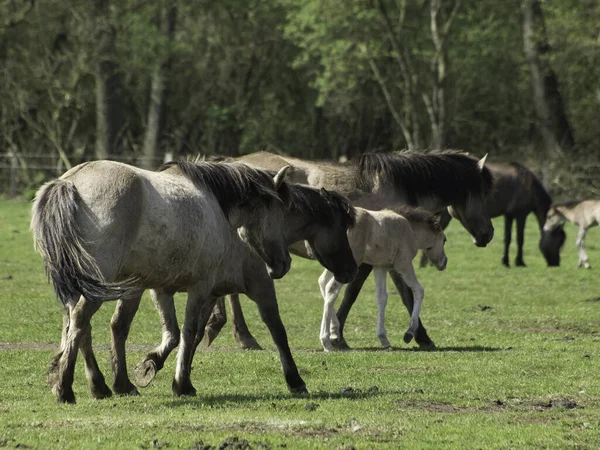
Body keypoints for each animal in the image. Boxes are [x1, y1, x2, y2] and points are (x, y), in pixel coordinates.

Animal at [29, 160, 302, 402]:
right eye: (281, 213)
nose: (283, 263)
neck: (217, 206)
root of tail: (69, 182)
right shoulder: (201, 287)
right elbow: (190, 332)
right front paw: (181, 384)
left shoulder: (161, 289)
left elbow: (173, 333)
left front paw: (149, 369)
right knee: (79, 323)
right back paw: (66, 389)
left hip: (81, 287)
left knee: (79, 326)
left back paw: (102, 386)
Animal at [318, 207, 446, 352]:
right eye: (444, 240)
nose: (444, 263)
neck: (410, 229)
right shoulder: (403, 264)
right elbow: (419, 290)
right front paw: (409, 332)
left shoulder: (380, 266)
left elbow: (381, 297)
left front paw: (383, 338)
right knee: (331, 288)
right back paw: (326, 341)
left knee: (322, 282)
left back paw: (334, 332)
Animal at [420, 161, 564, 268]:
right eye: (559, 241)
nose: (556, 264)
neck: (528, 185)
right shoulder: (521, 215)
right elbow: (520, 239)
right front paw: (520, 262)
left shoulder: (509, 215)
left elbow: (508, 238)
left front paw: (505, 261)